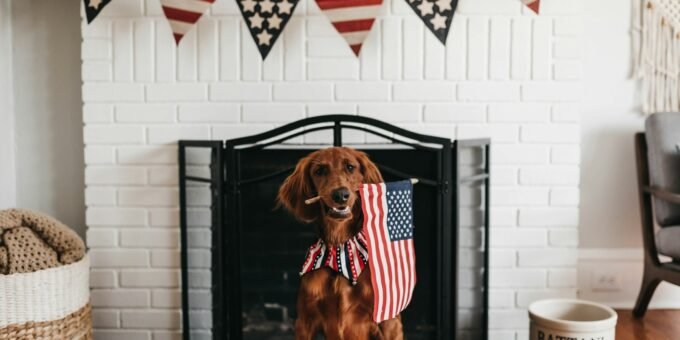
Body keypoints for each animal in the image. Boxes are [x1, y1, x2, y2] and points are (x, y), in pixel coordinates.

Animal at [278, 147, 404, 340]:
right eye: (319, 171)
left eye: (350, 167)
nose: (340, 195)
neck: (340, 248)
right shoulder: (305, 322)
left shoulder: (388, 321)